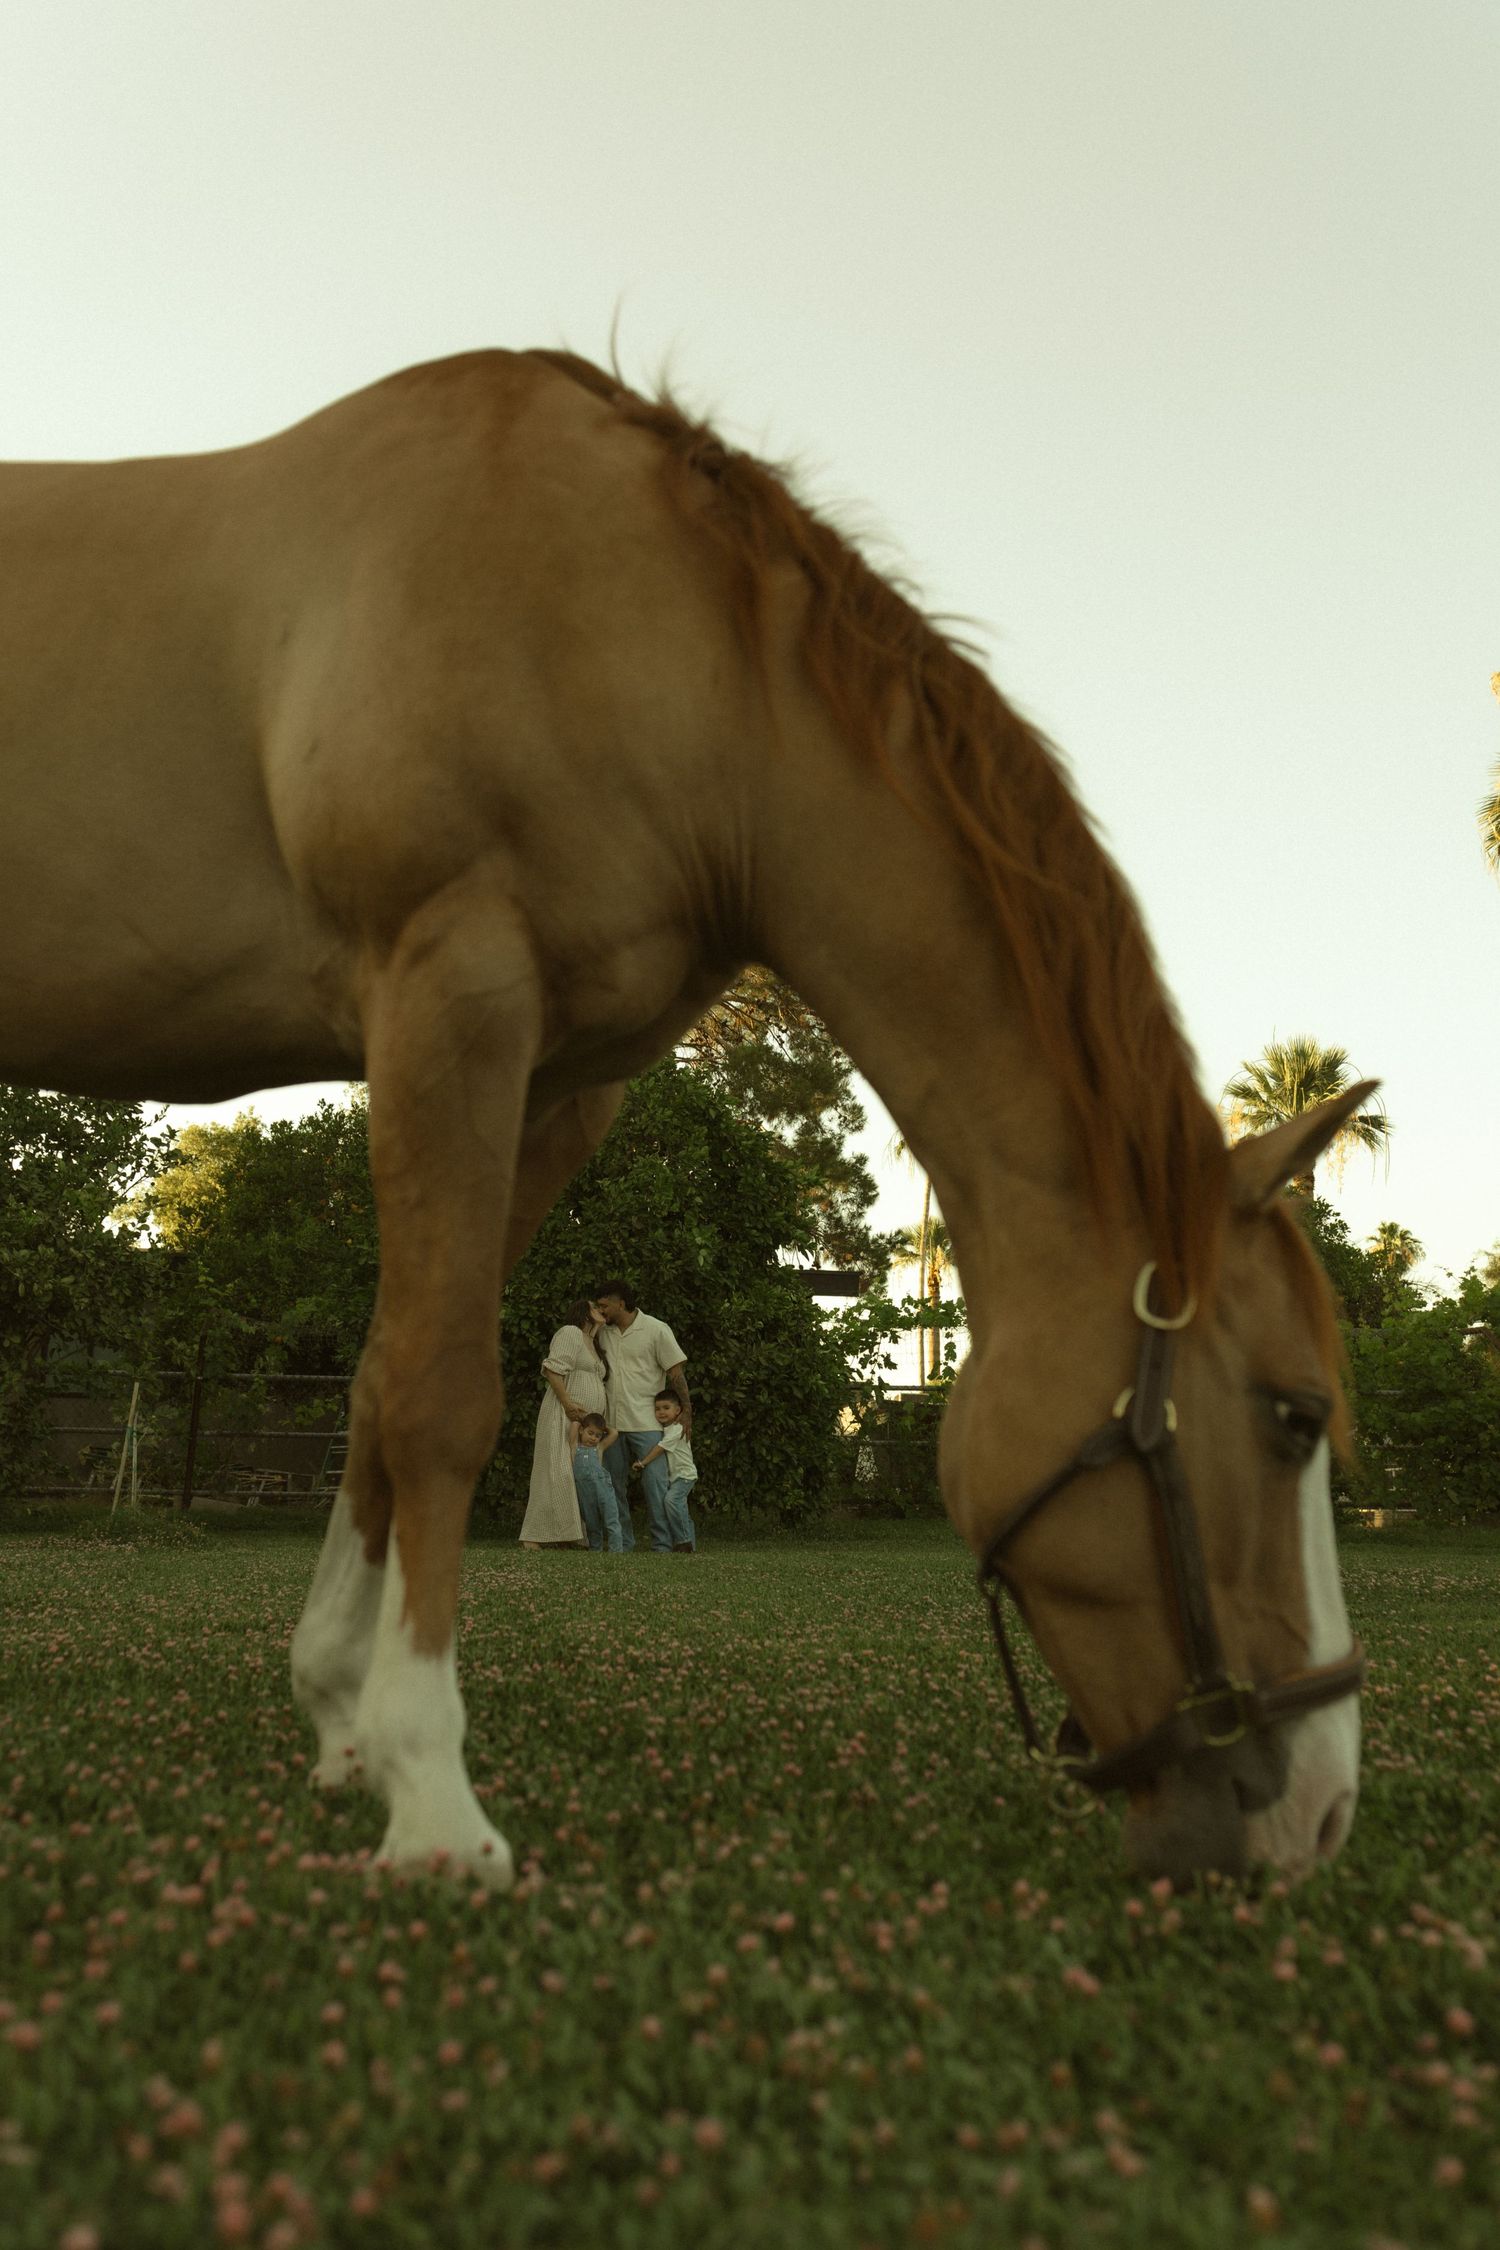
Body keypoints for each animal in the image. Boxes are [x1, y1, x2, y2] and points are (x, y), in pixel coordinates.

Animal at [0, 346, 1366, 1889]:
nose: (1324, 1811)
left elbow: (377, 1381)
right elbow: (440, 1400)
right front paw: (433, 1795)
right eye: (1294, 1415)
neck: (664, 645)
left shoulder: (556, 1084)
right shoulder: (450, 993)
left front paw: (342, 1719)